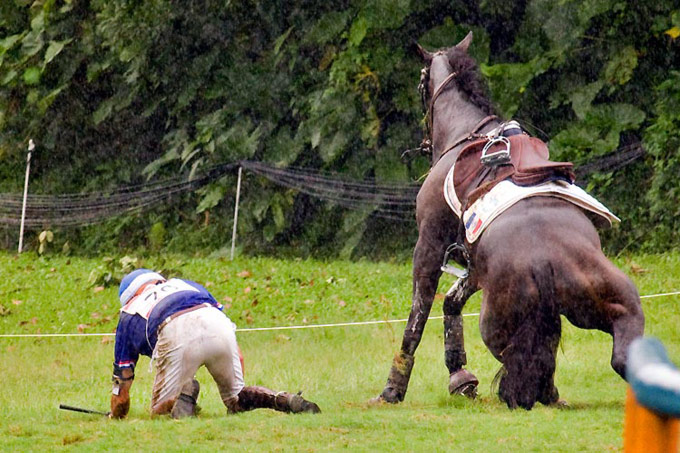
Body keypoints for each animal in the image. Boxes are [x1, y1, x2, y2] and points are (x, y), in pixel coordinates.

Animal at [374, 30, 644, 406]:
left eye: (419, 82)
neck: (465, 132)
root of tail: (545, 261)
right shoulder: (473, 265)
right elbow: (451, 303)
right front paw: (459, 376)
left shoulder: (429, 245)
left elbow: (418, 314)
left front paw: (393, 389)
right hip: (616, 301)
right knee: (616, 357)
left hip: (496, 326)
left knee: (525, 371)